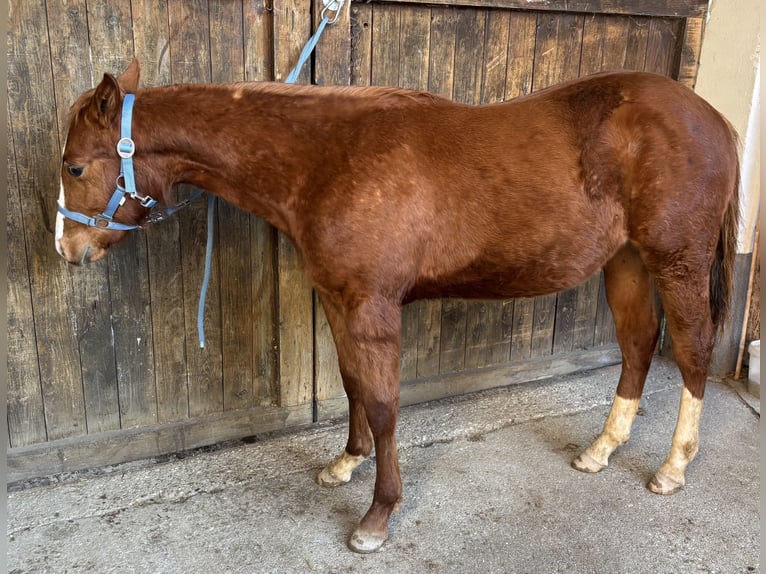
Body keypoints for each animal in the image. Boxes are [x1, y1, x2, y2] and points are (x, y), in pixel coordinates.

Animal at [55, 58, 739, 553]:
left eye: (75, 166)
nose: (67, 248)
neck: (328, 158)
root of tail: (713, 119)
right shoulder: (338, 301)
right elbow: (354, 385)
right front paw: (344, 464)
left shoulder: (372, 308)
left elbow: (384, 405)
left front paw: (377, 517)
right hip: (626, 261)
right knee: (638, 344)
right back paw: (601, 449)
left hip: (676, 261)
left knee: (692, 351)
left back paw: (673, 466)